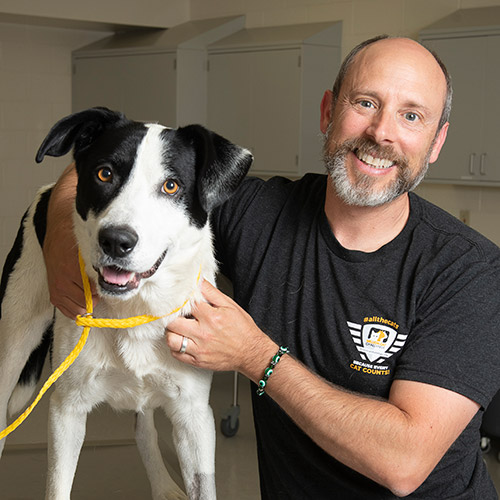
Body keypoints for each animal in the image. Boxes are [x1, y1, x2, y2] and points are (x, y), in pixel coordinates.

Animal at [0, 108, 252, 500]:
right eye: (104, 173)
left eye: (171, 186)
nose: (116, 241)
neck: (135, 309)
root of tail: (48, 191)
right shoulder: (66, 409)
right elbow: (58, 487)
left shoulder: (194, 416)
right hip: (14, 340)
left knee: (143, 425)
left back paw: (162, 485)